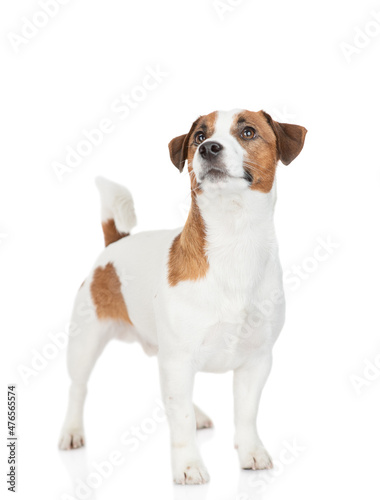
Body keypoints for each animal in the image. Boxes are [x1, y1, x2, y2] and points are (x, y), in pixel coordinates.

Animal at [60, 108, 308, 484]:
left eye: (248, 132)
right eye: (199, 137)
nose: (208, 148)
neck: (233, 239)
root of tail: (116, 242)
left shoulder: (256, 361)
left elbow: (246, 413)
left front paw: (251, 452)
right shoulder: (178, 359)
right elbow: (180, 422)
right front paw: (189, 466)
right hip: (86, 340)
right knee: (78, 387)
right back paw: (72, 431)